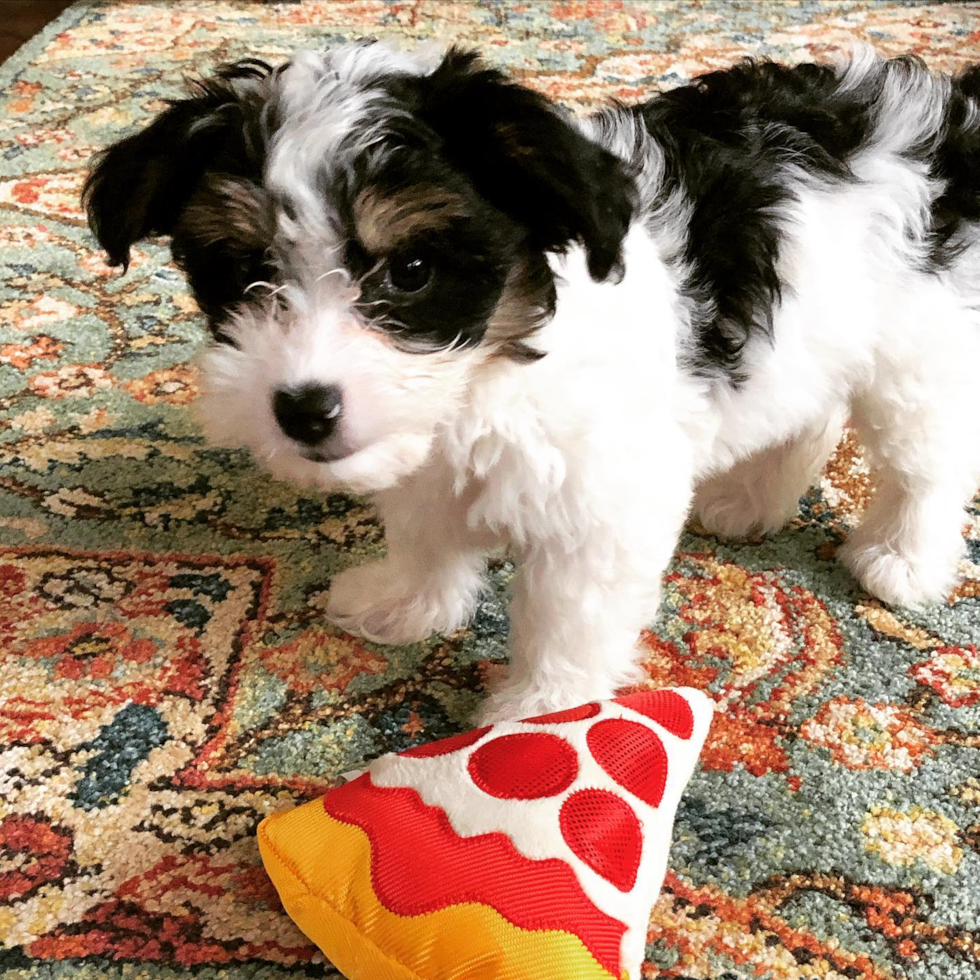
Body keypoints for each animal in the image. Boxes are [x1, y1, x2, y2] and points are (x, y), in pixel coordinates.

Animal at [84, 44, 980, 720]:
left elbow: (564, 614)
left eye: (411, 271)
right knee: (811, 409)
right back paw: (755, 499)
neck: (493, 364)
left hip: (920, 353)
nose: (302, 410)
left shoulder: (601, 505)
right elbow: (425, 533)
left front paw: (540, 716)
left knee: (927, 464)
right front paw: (408, 604)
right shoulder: (427, 455)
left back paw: (902, 558)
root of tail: (951, 119)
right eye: (244, 273)